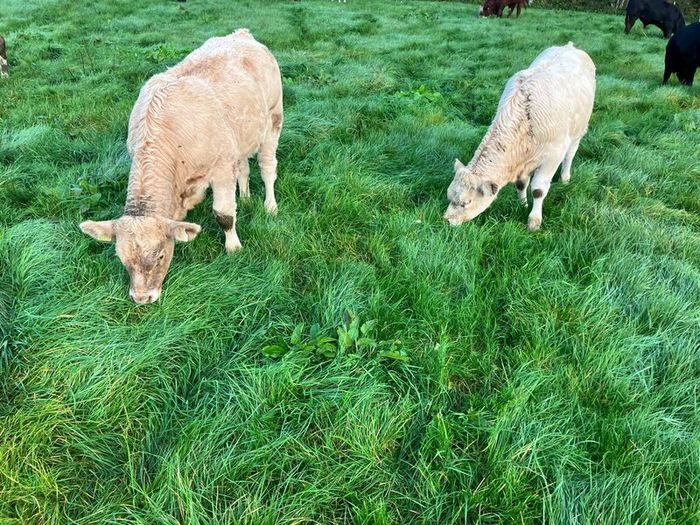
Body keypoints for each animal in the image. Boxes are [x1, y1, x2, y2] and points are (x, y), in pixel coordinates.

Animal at [80, 29, 283, 304]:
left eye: (160, 255)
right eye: (121, 258)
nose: (141, 298)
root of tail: (241, 34)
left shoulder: (221, 168)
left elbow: (224, 214)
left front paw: (234, 248)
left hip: (274, 117)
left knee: (267, 167)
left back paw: (270, 205)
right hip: (240, 139)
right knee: (243, 168)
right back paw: (246, 197)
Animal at [444, 43, 596, 232]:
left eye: (466, 202)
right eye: (449, 196)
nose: (446, 220)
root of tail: (569, 46)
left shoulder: (553, 155)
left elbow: (538, 189)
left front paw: (534, 221)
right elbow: (521, 184)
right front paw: (521, 205)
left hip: (578, 130)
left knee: (570, 155)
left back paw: (565, 179)